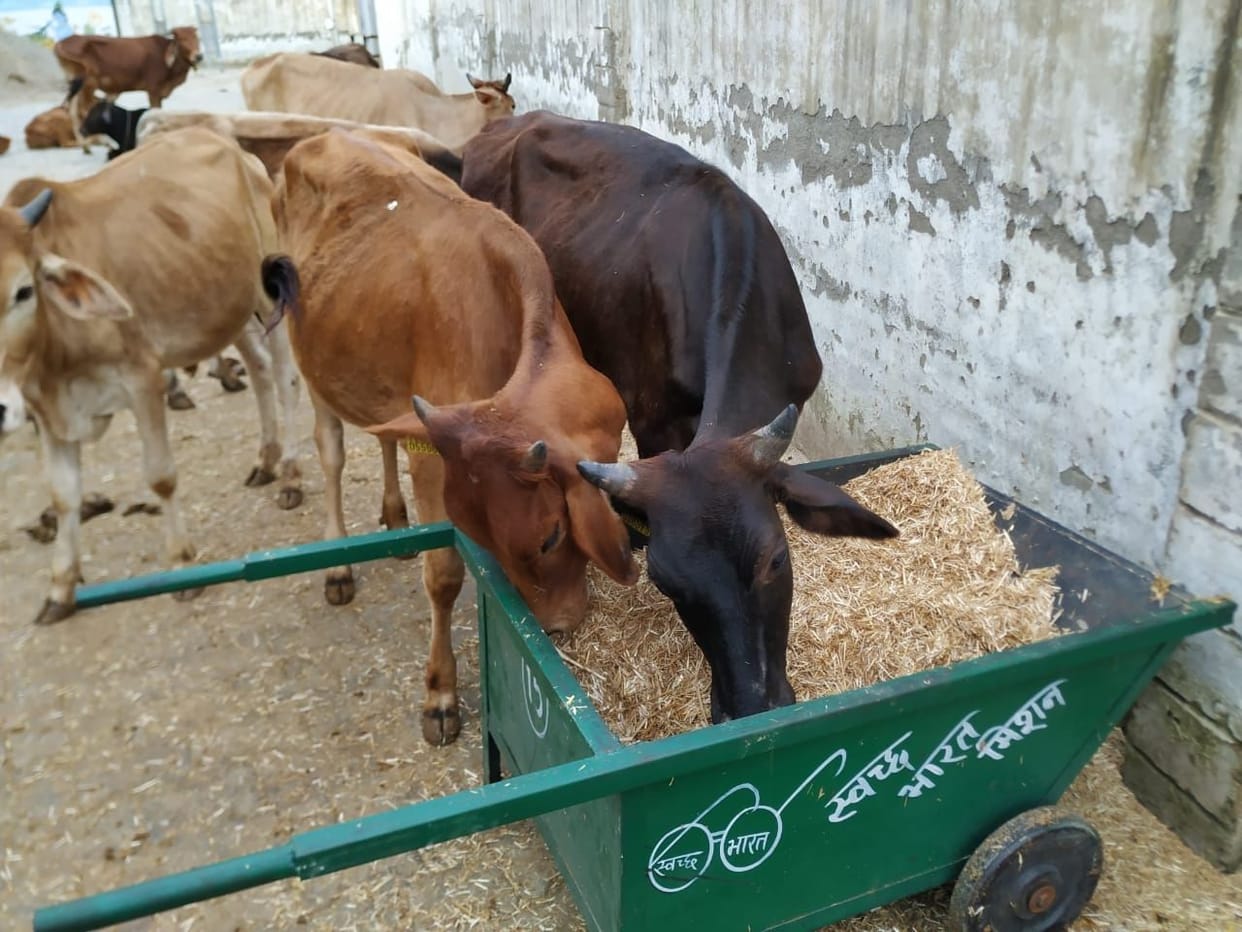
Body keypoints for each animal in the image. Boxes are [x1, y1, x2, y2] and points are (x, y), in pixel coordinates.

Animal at [0, 126, 303, 627]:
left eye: (23, 291)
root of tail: (235, 149)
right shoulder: (46, 411)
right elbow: (63, 496)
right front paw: (61, 587)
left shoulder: (142, 380)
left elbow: (161, 476)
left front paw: (181, 563)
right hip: (226, 307)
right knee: (259, 369)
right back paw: (267, 460)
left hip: (268, 294)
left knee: (284, 378)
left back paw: (293, 475)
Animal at [55, 26, 203, 150]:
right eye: (182, 39)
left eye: (197, 38)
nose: (199, 56)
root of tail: (62, 43)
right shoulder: (153, 90)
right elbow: (155, 111)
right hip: (89, 83)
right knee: (85, 110)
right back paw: (102, 141)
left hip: (76, 84)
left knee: (73, 112)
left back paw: (85, 146)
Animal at [260, 128, 637, 745]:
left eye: (552, 537)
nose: (557, 628)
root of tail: (322, 134)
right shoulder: (437, 464)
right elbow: (443, 576)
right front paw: (439, 693)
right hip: (310, 359)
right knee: (331, 451)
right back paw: (339, 562)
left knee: (383, 436)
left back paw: (396, 520)